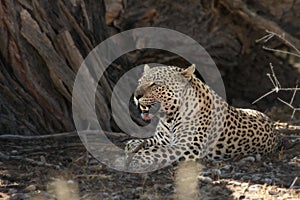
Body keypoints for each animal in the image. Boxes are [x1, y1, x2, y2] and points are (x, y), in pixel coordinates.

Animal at [125, 64, 278, 172]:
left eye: (155, 84)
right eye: (140, 82)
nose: (136, 95)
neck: (169, 119)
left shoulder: (188, 148)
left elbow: (156, 151)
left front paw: (136, 158)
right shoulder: (161, 139)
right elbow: (139, 142)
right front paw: (133, 146)